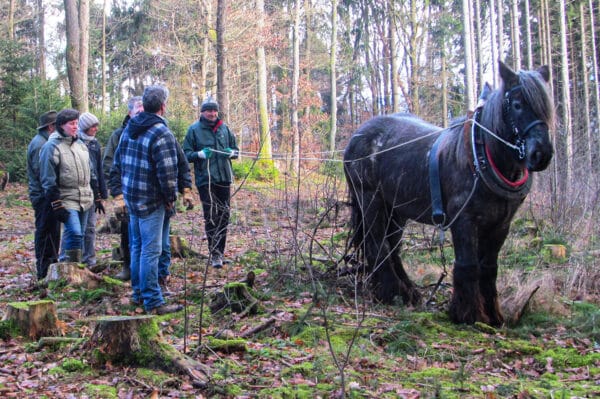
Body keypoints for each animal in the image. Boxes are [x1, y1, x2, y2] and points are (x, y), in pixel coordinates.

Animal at [344, 61, 556, 326]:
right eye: (517, 104)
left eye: (546, 107)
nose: (542, 154)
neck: (480, 157)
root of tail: (357, 135)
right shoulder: (463, 219)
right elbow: (468, 265)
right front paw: (467, 314)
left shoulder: (500, 225)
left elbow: (489, 267)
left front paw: (493, 315)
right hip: (370, 201)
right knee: (377, 244)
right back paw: (391, 293)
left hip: (397, 210)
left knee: (392, 247)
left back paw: (408, 292)